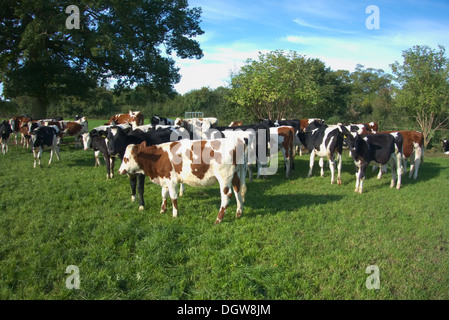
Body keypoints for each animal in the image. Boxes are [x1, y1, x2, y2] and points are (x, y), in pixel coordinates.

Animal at [117, 136, 247, 224]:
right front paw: (163, 210)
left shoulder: (172, 180)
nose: (119, 171)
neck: (158, 157)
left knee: (227, 195)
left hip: (224, 177)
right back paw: (239, 213)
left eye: (126, 158)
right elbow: (164, 195)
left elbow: (173, 197)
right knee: (237, 191)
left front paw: (175, 214)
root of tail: (237, 141)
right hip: (236, 175)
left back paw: (218, 219)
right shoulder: (165, 179)